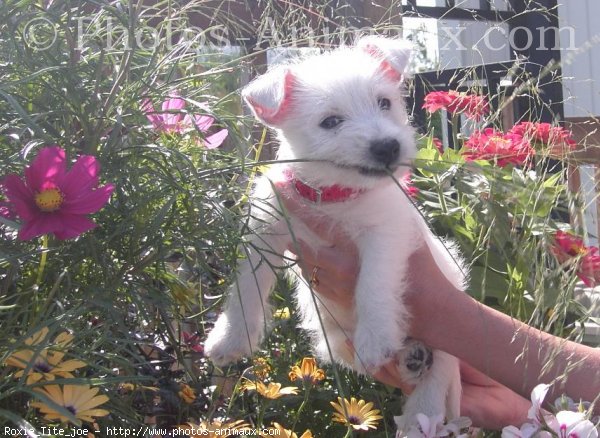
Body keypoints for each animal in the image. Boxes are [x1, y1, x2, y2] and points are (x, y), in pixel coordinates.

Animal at [205, 36, 464, 432]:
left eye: (384, 102)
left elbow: (372, 284)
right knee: (352, 353)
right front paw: (229, 338)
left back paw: (421, 410)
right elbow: (246, 286)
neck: (332, 197)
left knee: (444, 365)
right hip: (328, 334)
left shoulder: (385, 233)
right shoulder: (264, 233)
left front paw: (376, 337)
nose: (388, 146)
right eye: (330, 122)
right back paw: (411, 359)